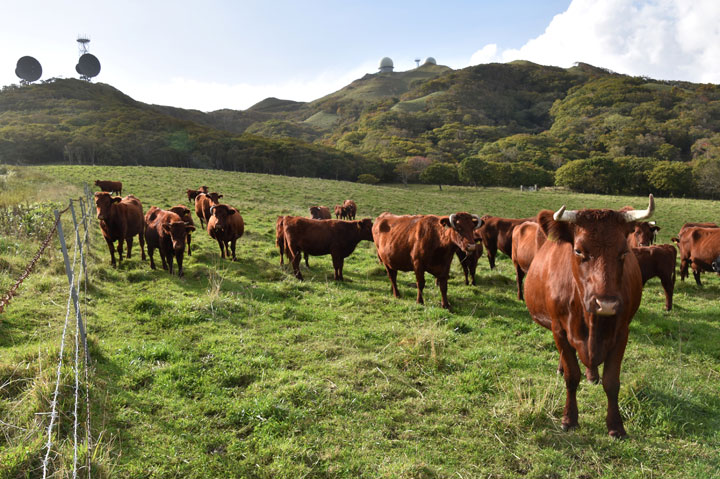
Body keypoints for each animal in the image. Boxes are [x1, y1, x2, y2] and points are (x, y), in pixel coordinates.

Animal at [523, 195, 654, 438]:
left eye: (624, 252)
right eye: (578, 251)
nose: (606, 304)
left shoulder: (622, 333)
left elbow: (612, 382)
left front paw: (616, 426)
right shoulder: (559, 330)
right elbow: (571, 376)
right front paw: (569, 418)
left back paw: (592, 374)